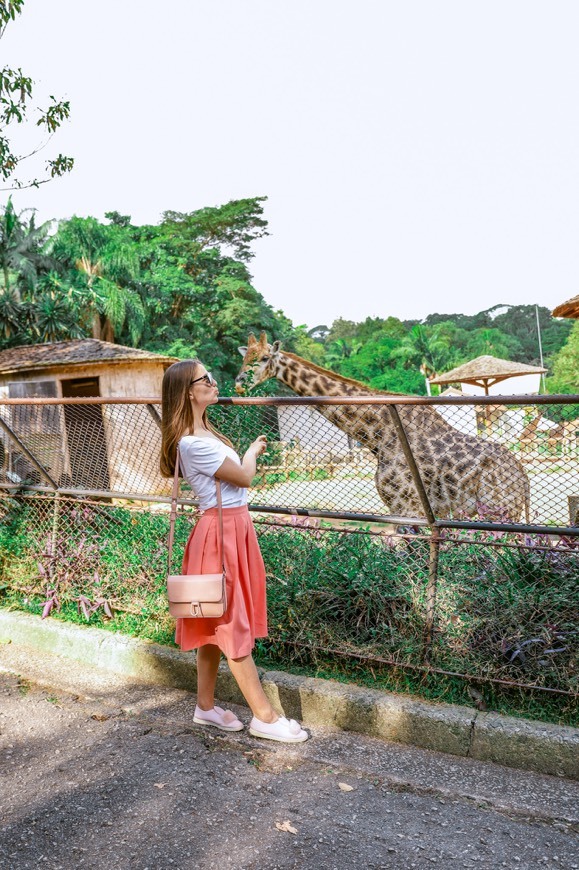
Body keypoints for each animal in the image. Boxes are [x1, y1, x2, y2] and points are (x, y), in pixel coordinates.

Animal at [236, 330, 532, 520]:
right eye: (244, 358)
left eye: (264, 358)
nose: (239, 383)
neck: (377, 437)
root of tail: (524, 478)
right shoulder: (400, 508)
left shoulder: (407, 507)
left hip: (500, 510)